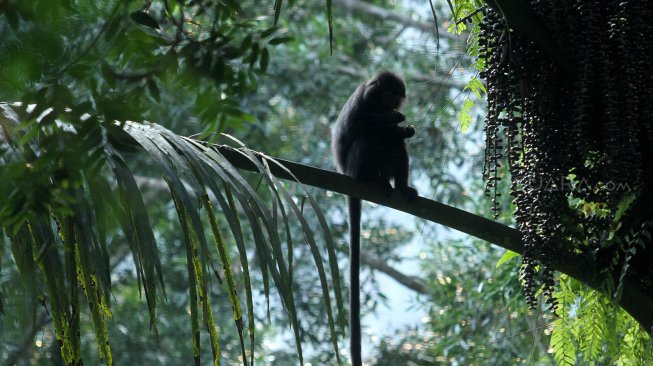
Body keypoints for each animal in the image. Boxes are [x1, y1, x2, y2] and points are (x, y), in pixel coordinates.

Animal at [332, 71, 418, 366]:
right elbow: (360, 125)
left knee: (394, 144)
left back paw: (400, 186)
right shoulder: (363, 100)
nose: (392, 103)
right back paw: (373, 178)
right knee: (369, 136)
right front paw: (395, 118)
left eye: (396, 95)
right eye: (388, 93)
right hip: (354, 167)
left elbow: (396, 135)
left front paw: (403, 126)